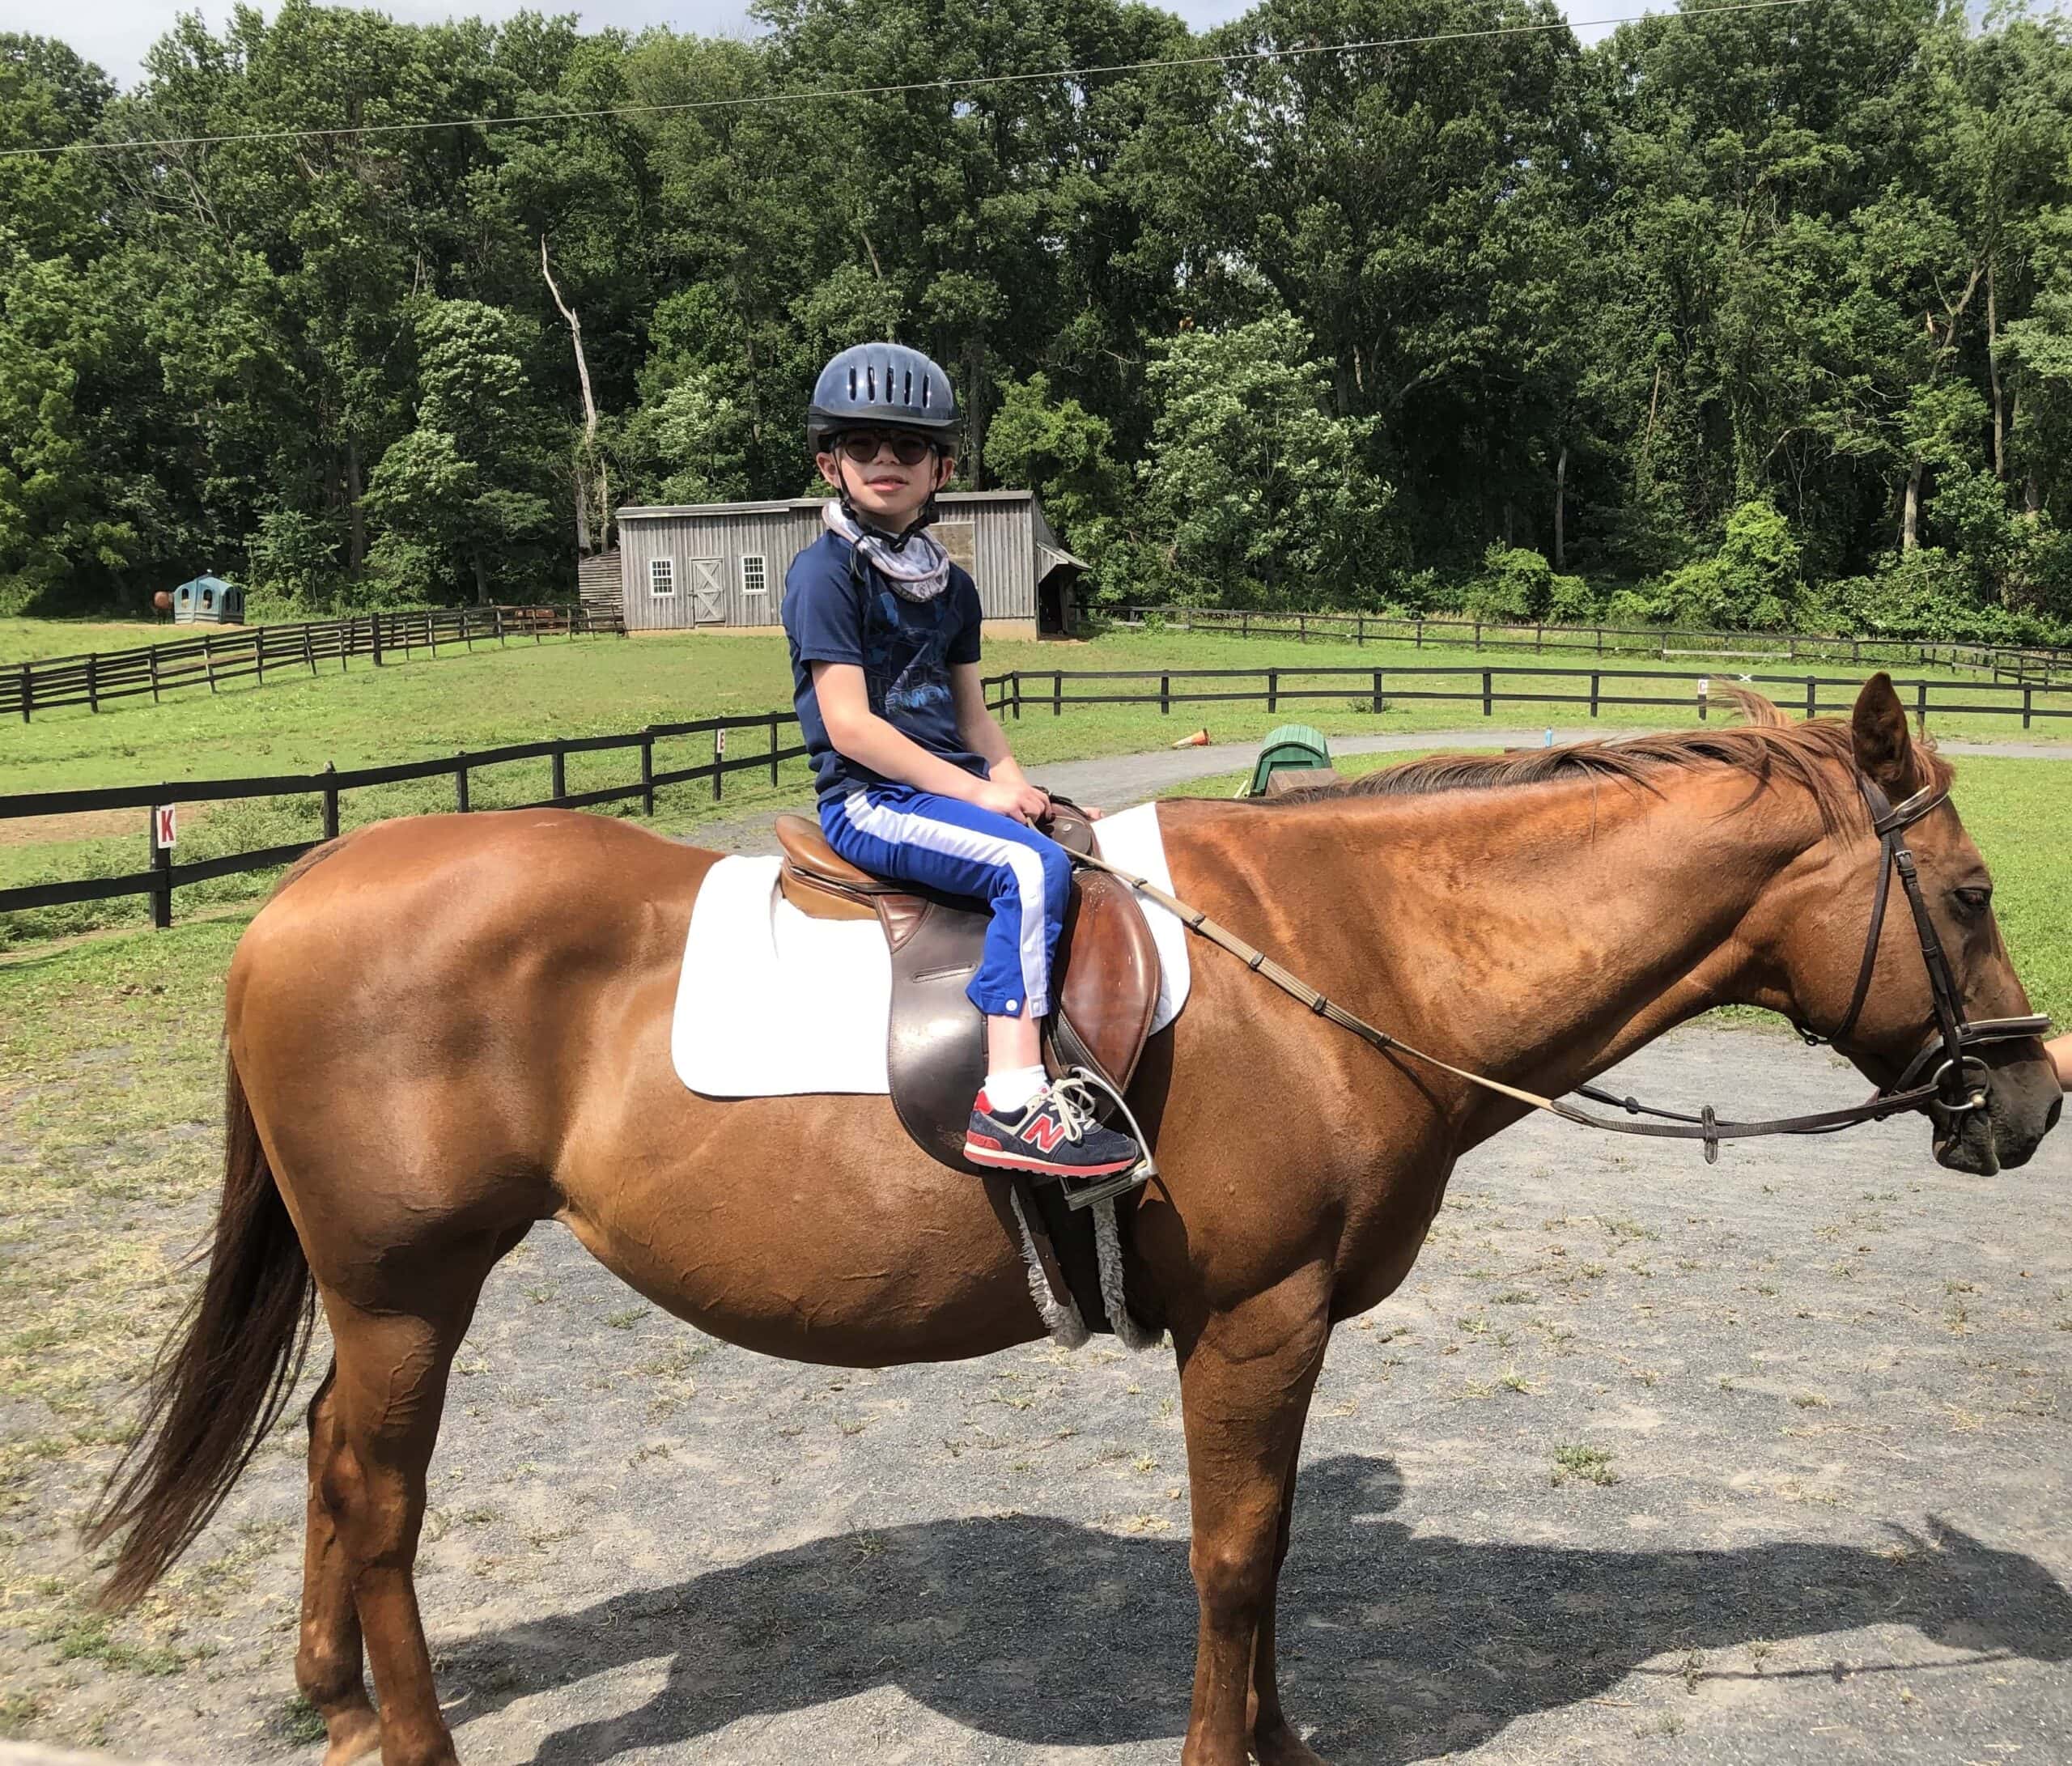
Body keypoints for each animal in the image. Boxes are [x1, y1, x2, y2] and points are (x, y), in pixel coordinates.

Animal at [84, 675, 2055, 1766]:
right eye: (1966, 894)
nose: (2031, 1101)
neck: (1346, 958)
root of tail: (299, 895)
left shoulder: (1278, 1327)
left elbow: (1272, 1554)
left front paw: (1285, 1740)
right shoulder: (1257, 1315)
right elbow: (1235, 1558)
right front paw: (1231, 1750)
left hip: (381, 1294)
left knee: (329, 1456)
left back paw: (337, 1699)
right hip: (408, 1284)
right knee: (377, 1493)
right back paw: (402, 1729)